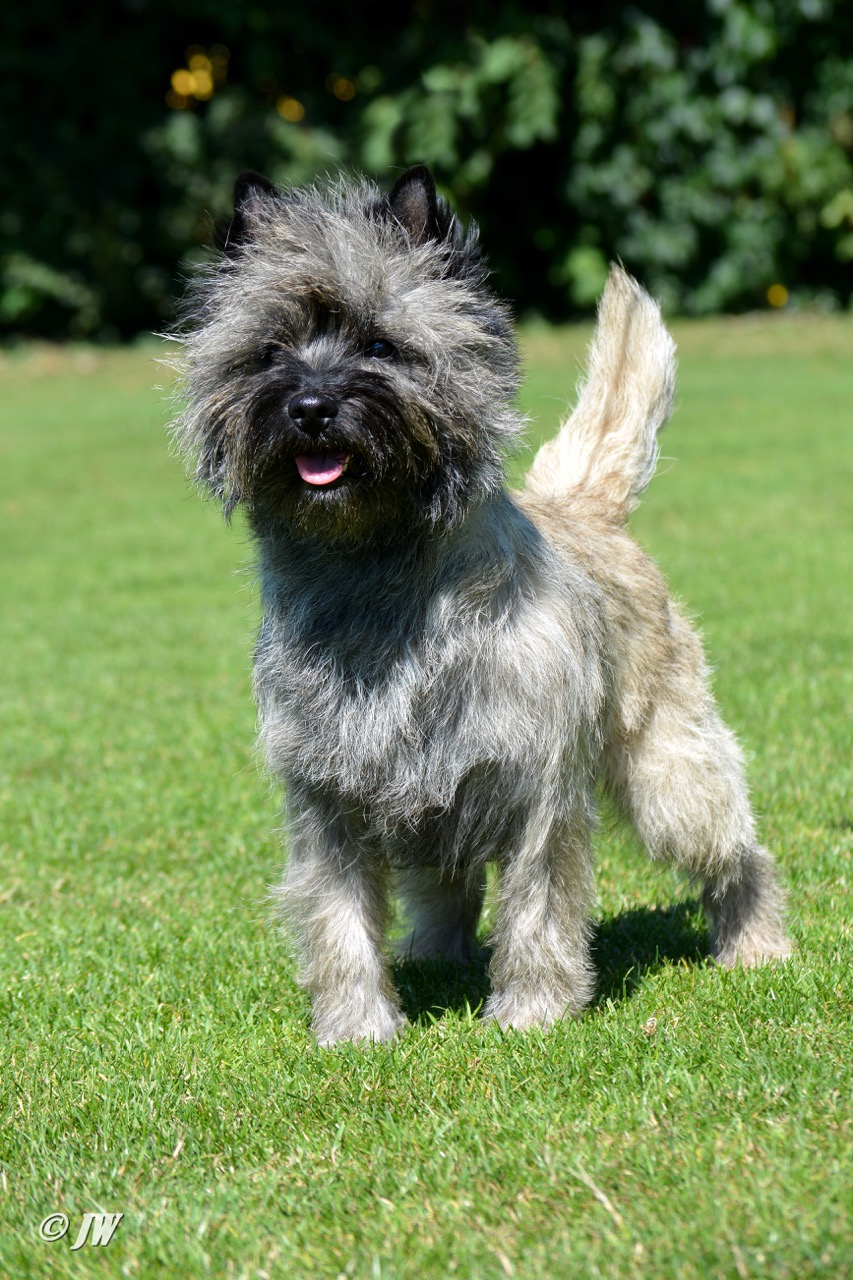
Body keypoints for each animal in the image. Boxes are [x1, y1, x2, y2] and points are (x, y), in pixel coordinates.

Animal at [172, 164, 790, 1045]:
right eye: (270, 351)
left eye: (381, 345)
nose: (310, 407)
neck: (374, 582)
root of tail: (583, 506)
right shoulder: (328, 801)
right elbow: (338, 918)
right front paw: (356, 1028)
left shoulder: (534, 787)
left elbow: (537, 906)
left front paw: (530, 1013)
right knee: (445, 883)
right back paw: (434, 954)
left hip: (668, 770)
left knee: (735, 850)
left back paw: (755, 944)